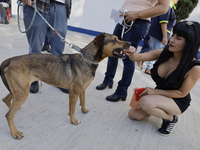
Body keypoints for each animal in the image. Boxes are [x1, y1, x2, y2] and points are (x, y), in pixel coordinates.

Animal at [0, 33, 130, 139]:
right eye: (114, 40)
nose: (130, 43)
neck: (87, 59)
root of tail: (11, 59)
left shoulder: (82, 90)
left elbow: (83, 101)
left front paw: (83, 110)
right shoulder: (73, 94)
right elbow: (72, 110)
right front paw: (73, 121)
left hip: (18, 90)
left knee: (6, 100)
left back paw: (14, 110)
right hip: (23, 93)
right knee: (9, 115)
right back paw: (14, 132)